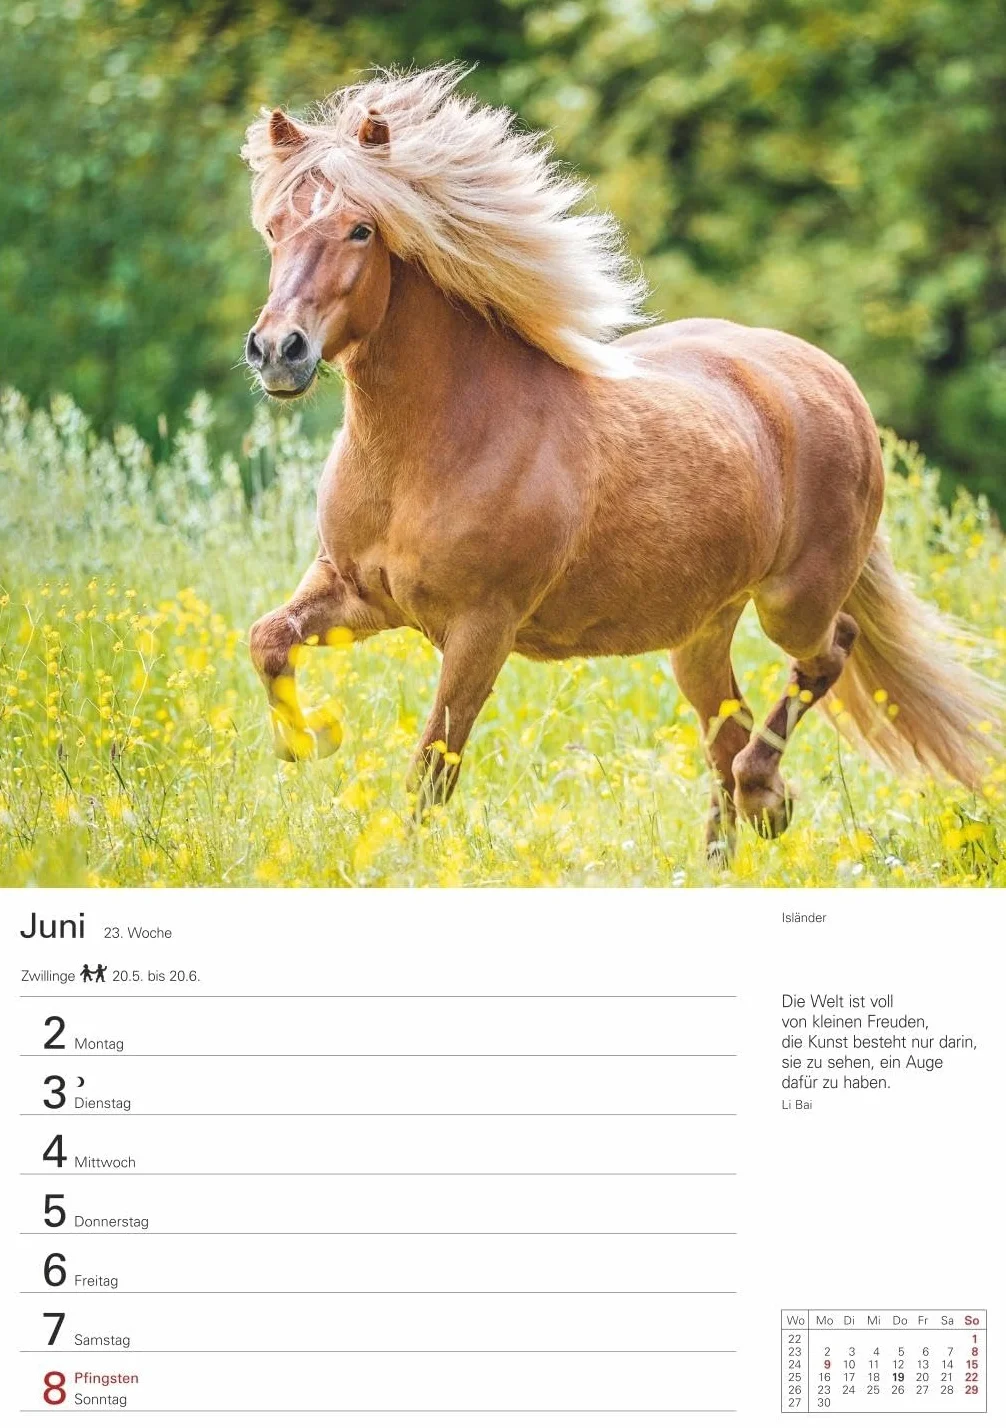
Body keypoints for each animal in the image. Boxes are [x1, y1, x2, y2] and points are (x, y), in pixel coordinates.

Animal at [242, 65, 1000, 859]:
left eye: (361, 229)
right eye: (273, 228)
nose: (278, 351)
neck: (435, 447)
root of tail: (829, 377)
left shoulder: (481, 630)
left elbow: (431, 771)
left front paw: (405, 857)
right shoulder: (357, 594)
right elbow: (268, 639)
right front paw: (308, 740)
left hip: (795, 600)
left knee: (823, 658)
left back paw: (768, 797)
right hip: (701, 632)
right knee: (725, 732)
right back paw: (728, 848)